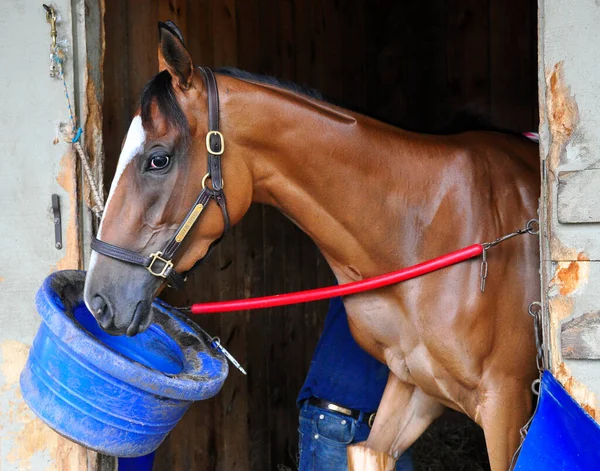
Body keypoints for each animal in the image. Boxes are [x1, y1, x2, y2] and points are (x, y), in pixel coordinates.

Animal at [84, 21, 540, 468]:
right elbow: (369, 451)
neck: (426, 227)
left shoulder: (506, 403)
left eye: (158, 159)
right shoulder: (414, 385)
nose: (97, 300)